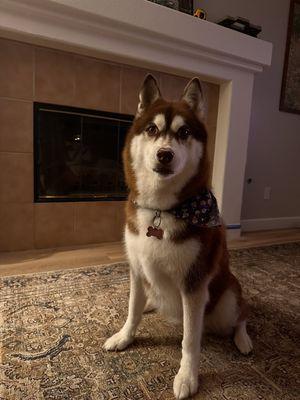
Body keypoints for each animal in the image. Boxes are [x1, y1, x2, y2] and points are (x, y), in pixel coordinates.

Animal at [104, 76, 252, 400]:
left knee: (240, 317)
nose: (165, 154)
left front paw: (187, 377)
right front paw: (124, 336)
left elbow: (190, 340)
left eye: (184, 132)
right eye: (152, 129)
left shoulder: (194, 284)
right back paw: (151, 303)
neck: (162, 209)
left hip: (226, 302)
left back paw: (244, 339)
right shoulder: (136, 269)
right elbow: (132, 310)